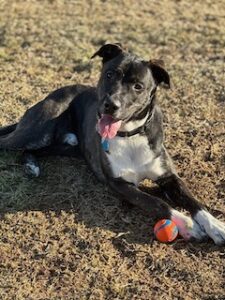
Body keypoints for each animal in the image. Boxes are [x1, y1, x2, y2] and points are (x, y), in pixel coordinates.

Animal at [0, 43, 225, 245]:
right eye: (109, 75)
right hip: (39, 129)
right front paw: (188, 225)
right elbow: (155, 202)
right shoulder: (119, 184)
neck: (130, 134)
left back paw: (32, 165)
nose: (110, 105)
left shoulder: (168, 176)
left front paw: (215, 226)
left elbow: (192, 200)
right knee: (12, 143)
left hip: (67, 146)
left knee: (36, 150)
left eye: (138, 86)